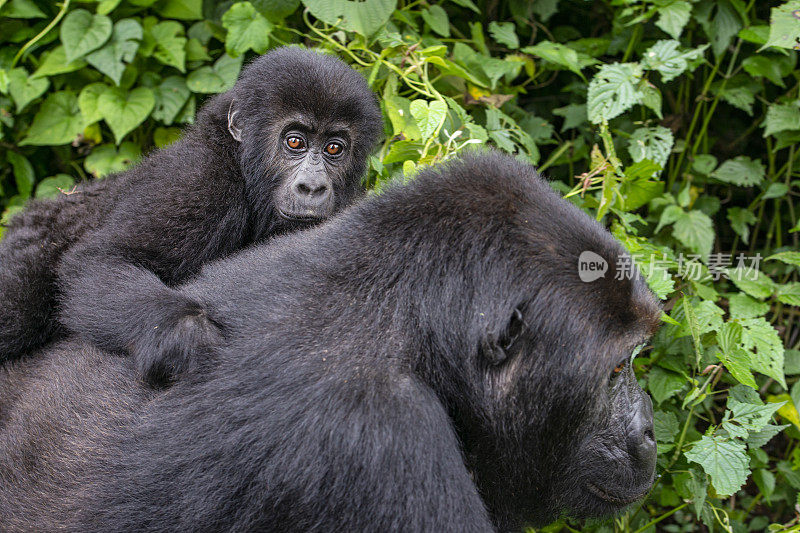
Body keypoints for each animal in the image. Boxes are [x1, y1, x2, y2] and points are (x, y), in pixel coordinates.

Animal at [0, 45, 382, 382]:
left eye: (334, 148)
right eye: (295, 142)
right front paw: (183, 334)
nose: (312, 187)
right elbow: (103, 259)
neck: (241, 164)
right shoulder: (197, 180)